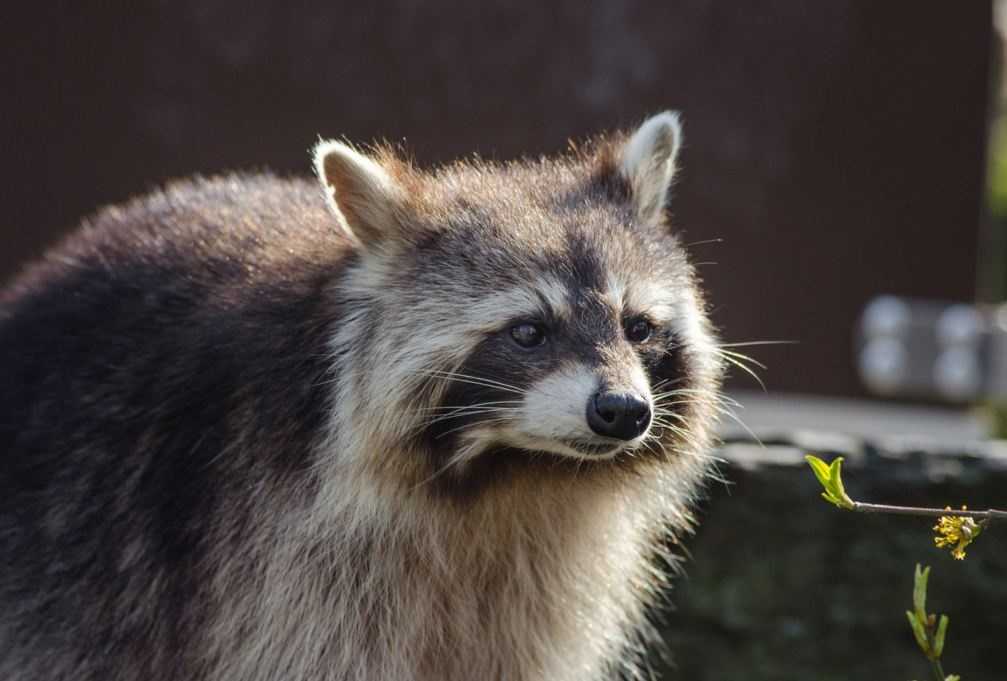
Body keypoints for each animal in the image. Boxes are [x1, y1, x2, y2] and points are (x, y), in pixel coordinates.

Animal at [0, 112, 723, 681]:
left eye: (637, 326)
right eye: (528, 331)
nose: (622, 411)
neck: (509, 472)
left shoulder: (535, 589)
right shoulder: (275, 561)